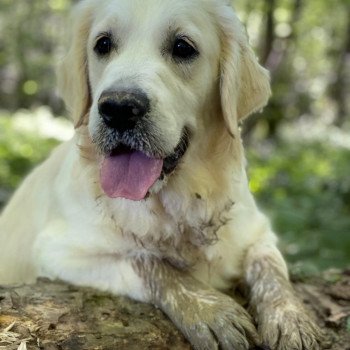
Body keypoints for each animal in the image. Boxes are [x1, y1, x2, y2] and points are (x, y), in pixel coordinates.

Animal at [0, 0, 326, 350]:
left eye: (183, 47)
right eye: (103, 44)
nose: (118, 108)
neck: (179, 199)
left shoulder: (259, 231)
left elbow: (270, 268)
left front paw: (291, 319)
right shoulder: (58, 252)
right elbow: (147, 260)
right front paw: (210, 311)